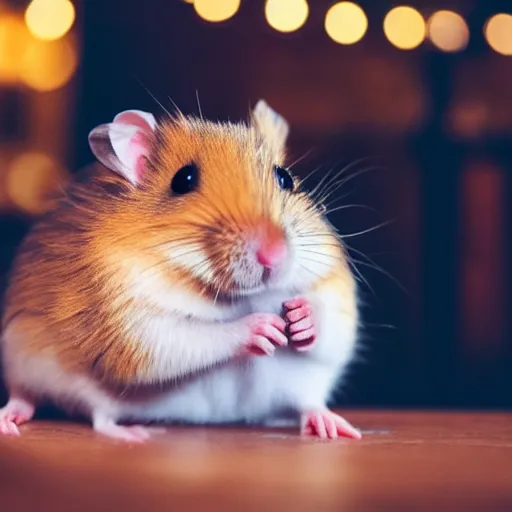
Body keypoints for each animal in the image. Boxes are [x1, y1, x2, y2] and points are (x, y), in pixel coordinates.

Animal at [0, 99, 362, 440]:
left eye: (284, 178)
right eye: (183, 180)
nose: (274, 254)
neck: (238, 297)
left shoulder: (335, 296)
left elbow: (329, 324)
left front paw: (301, 317)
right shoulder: (133, 325)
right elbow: (199, 334)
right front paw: (263, 327)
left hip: (301, 386)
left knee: (309, 403)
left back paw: (335, 427)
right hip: (25, 359)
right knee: (84, 414)